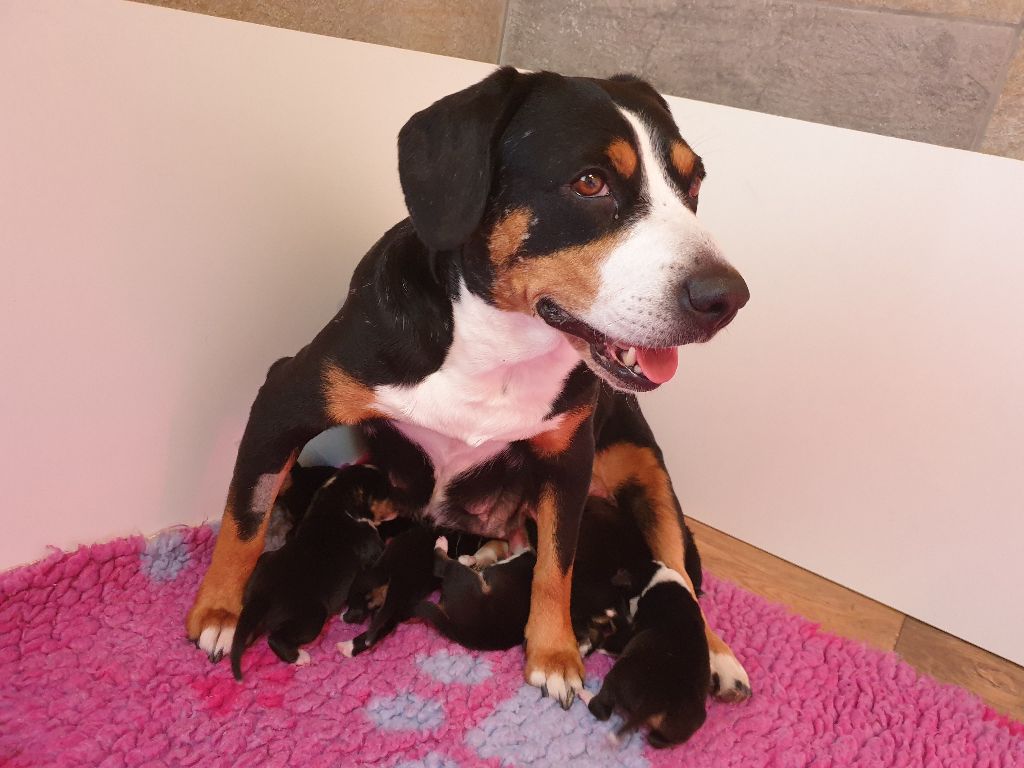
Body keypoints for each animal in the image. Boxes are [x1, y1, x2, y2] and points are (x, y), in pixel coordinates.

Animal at [229, 462, 387, 679]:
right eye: (381, 488)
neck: (336, 498)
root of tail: (260, 598)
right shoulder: (371, 545)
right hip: (311, 617)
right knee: (276, 639)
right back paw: (300, 657)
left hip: (264, 560)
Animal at [585, 561, 712, 749]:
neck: (657, 579)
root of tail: (654, 703)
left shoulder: (628, 633)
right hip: (686, 725)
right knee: (657, 740)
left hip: (614, 679)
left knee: (601, 709)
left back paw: (585, 694)